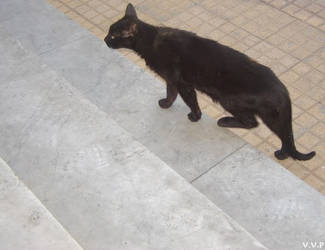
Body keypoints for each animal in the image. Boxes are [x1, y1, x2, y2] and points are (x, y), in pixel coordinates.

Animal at [104, 2, 314, 161]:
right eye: (108, 32)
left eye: (113, 35)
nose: (105, 40)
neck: (152, 39)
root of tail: (282, 90)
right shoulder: (172, 80)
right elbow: (170, 92)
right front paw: (166, 104)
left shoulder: (183, 83)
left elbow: (189, 100)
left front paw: (194, 117)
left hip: (230, 101)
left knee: (258, 125)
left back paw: (228, 123)